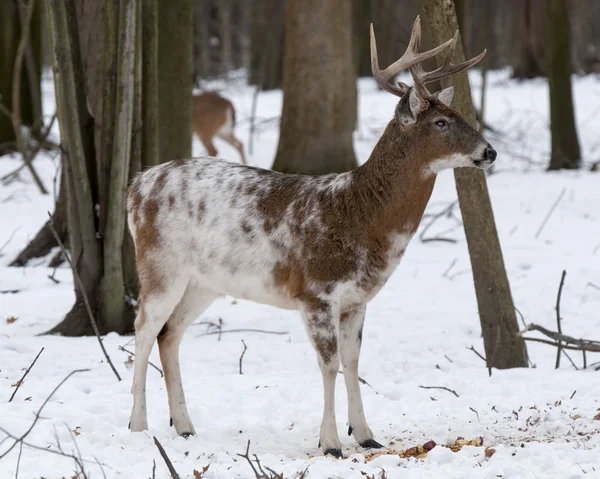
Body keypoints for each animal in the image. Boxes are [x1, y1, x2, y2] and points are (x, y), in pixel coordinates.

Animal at [129, 18, 494, 460]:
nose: (490, 152)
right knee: (143, 330)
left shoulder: (356, 299)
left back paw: (184, 427)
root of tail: (135, 186)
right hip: (159, 264)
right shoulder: (315, 291)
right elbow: (329, 364)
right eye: (440, 122)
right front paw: (331, 442)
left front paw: (366, 433)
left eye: (457, 113)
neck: (359, 218)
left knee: (170, 334)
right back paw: (137, 426)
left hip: (204, 283)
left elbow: (353, 362)